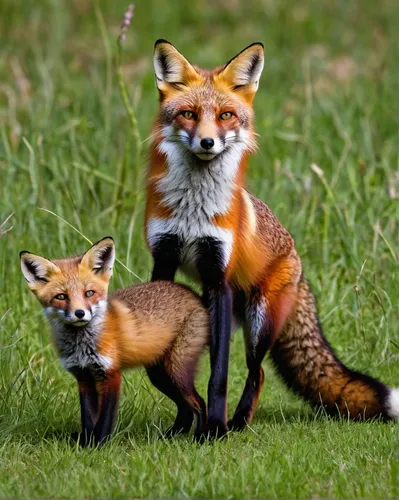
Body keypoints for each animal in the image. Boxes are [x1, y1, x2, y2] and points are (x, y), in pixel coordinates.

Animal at [21, 238, 209, 446]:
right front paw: (86, 444)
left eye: (89, 293)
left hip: (176, 370)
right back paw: (171, 436)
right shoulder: (83, 376)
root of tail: (190, 292)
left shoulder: (111, 374)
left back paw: (201, 438)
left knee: (200, 403)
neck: (82, 345)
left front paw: (98, 446)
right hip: (159, 375)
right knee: (185, 407)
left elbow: (105, 418)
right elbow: (88, 418)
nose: (80, 313)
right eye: (61, 296)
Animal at [145, 40, 398, 438]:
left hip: (259, 324)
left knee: (257, 372)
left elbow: (219, 376)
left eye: (226, 116)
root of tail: (297, 260)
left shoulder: (218, 277)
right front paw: (182, 425)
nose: (207, 142)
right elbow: (159, 366)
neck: (193, 211)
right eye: (187, 114)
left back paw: (235, 424)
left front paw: (212, 430)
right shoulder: (165, 261)